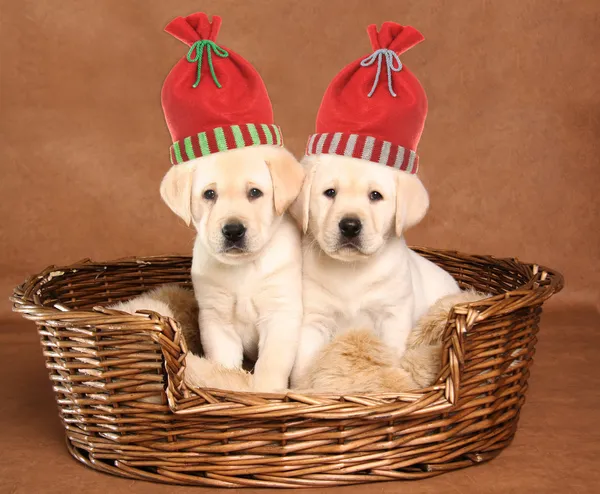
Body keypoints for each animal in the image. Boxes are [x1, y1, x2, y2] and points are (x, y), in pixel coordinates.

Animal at [159, 145, 304, 392]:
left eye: (254, 192)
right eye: (209, 194)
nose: (233, 231)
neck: (243, 266)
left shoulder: (280, 314)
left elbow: (270, 364)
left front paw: (266, 392)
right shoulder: (217, 320)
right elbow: (223, 364)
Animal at [290, 154, 460, 386]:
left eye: (375, 196)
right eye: (330, 192)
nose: (350, 226)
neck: (351, 269)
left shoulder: (392, 315)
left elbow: (392, 354)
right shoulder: (315, 319)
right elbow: (303, 365)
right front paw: (301, 388)